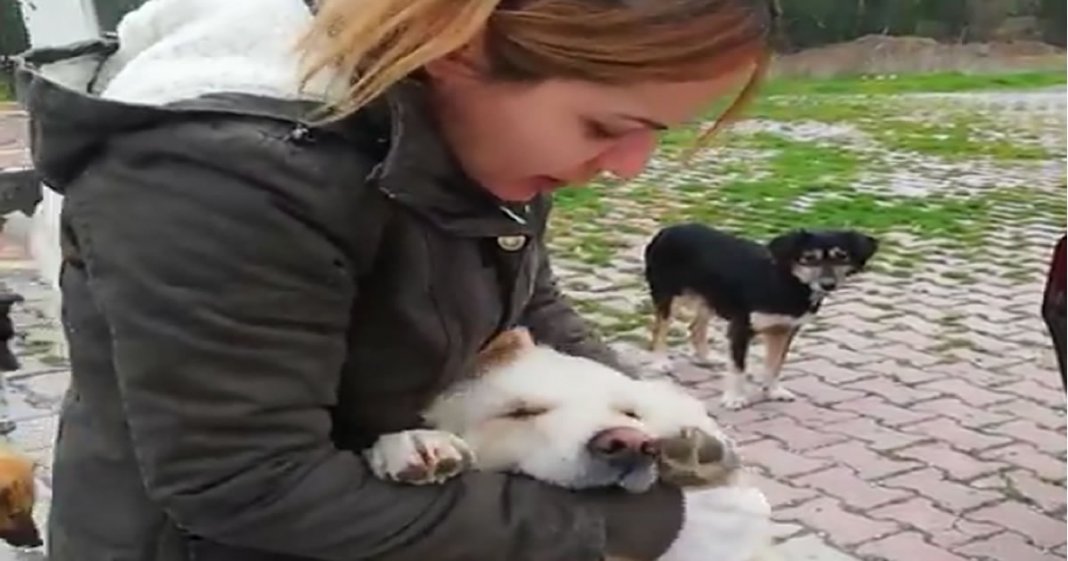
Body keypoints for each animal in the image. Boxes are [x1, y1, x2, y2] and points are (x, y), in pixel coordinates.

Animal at [640, 223, 875, 410]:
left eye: (841, 256)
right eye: (808, 259)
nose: (828, 284)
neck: (784, 282)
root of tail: (668, 229)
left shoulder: (785, 331)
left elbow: (775, 365)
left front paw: (773, 391)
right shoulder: (741, 328)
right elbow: (738, 368)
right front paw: (735, 398)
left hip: (711, 298)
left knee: (696, 327)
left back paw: (706, 357)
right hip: (667, 295)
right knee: (660, 328)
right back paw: (660, 362)